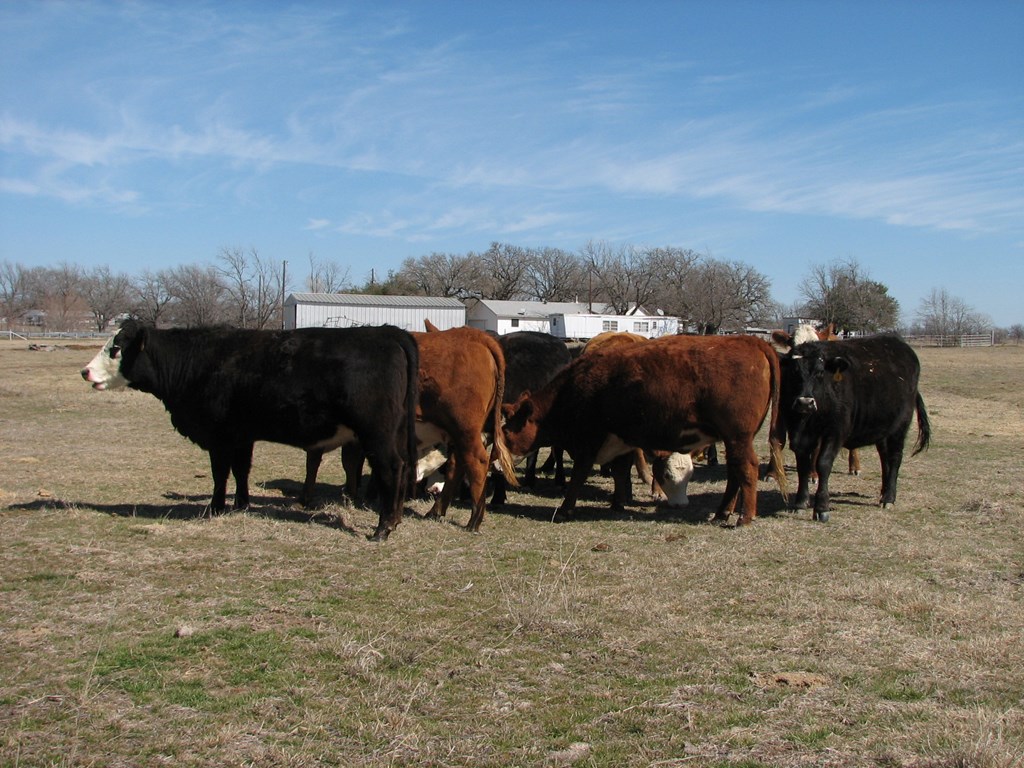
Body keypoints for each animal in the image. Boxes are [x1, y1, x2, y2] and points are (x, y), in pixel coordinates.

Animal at [77, 319, 417, 540]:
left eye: (116, 349)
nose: (85, 371)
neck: (198, 361)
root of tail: (386, 332)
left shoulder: (219, 435)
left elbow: (220, 473)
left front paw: (215, 508)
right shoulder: (241, 436)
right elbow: (241, 470)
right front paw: (241, 504)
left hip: (377, 433)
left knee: (391, 469)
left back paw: (383, 528)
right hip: (395, 432)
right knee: (401, 470)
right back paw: (396, 519)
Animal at [501, 333, 782, 528]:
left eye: (508, 432)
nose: (499, 457)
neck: (575, 387)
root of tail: (751, 341)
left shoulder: (589, 441)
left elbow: (579, 475)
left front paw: (565, 509)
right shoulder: (619, 440)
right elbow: (619, 471)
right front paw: (618, 503)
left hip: (738, 438)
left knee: (746, 470)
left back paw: (744, 517)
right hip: (733, 440)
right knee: (734, 474)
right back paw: (722, 512)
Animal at [778, 335, 933, 524]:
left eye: (820, 373)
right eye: (794, 372)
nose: (805, 402)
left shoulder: (835, 432)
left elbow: (823, 464)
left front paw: (821, 508)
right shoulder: (797, 434)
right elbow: (803, 467)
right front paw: (800, 503)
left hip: (900, 427)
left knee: (895, 457)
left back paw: (889, 498)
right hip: (883, 430)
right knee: (885, 458)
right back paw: (883, 492)